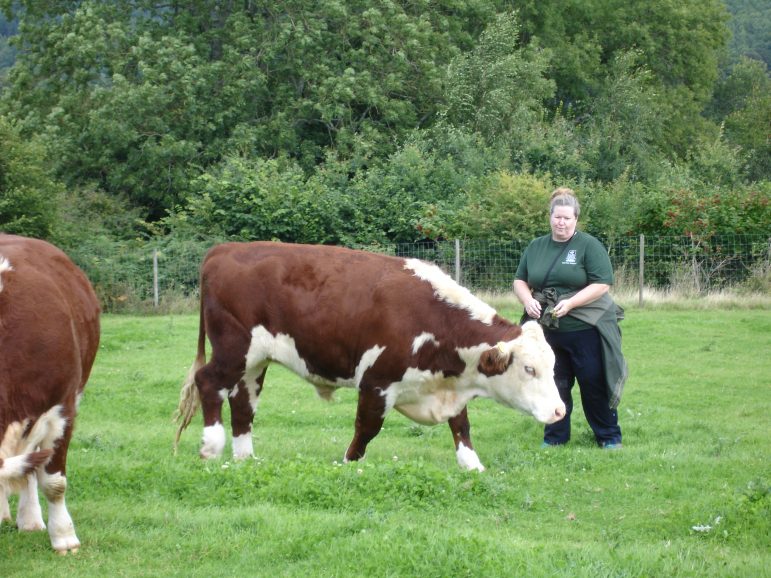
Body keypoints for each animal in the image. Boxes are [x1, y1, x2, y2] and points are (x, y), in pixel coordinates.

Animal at [173, 240, 560, 468]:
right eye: (529, 369)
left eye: (553, 366)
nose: (560, 411)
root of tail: (225, 248)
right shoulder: (376, 380)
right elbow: (367, 427)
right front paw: (348, 463)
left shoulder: (447, 382)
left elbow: (461, 425)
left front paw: (472, 467)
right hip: (233, 348)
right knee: (208, 382)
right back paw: (211, 446)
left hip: (254, 362)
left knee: (242, 402)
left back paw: (244, 458)